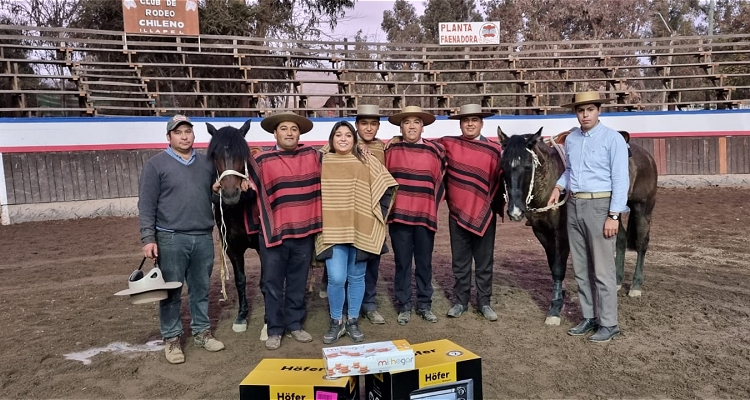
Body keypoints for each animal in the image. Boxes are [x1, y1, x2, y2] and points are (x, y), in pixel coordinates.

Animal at [206, 120, 262, 332]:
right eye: (215, 155)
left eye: (242, 154)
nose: (230, 195)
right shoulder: (232, 248)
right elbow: (240, 280)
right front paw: (241, 316)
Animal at [500, 126, 656, 326]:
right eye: (503, 167)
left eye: (527, 167)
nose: (515, 211)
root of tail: (646, 155)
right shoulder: (541, 232)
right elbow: (552, 265)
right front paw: (560, 296)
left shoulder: (562, 234)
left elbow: (558, 268)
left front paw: (555, 310)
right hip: (614, 213)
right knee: (620, 238)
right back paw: (617, 281)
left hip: (642, 207)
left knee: (642, 243)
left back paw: (636, 286)